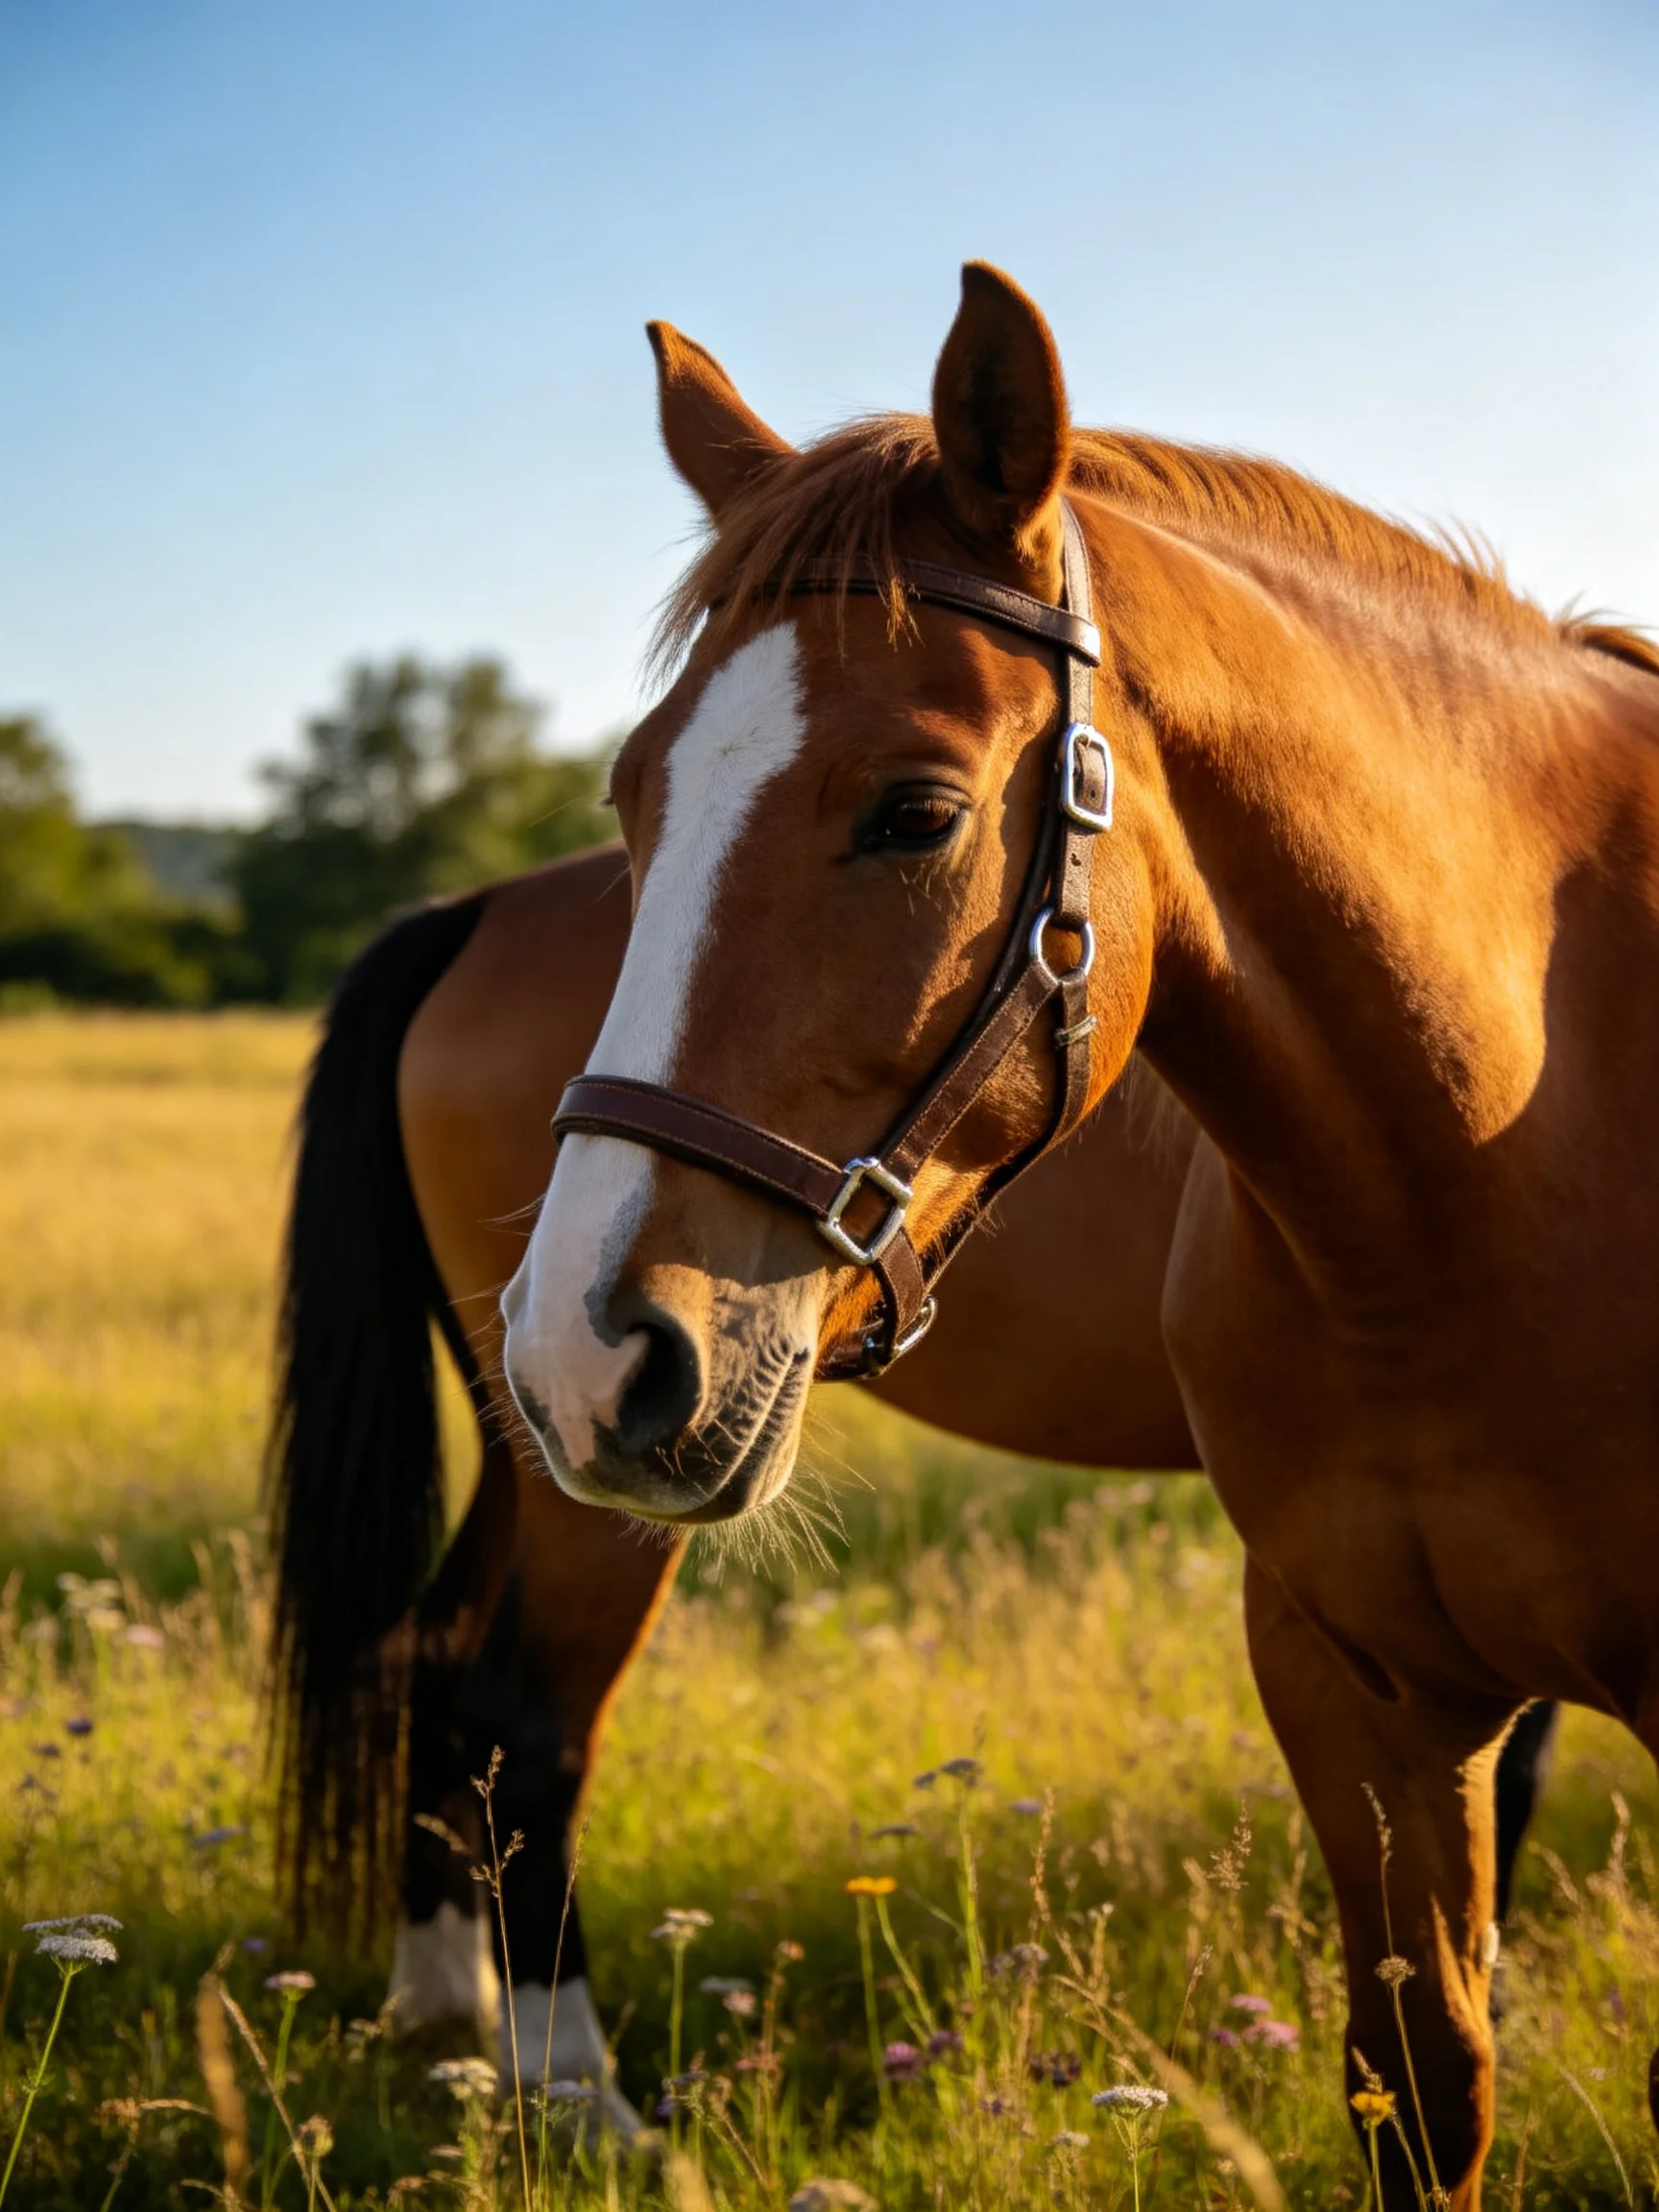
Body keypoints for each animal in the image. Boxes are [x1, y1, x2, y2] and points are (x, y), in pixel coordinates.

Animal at [276, 832, 1553, 2141]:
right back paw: (576, 2085)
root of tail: (472, 910)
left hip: (523, 1433)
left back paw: (444, 2004)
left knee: (428, 1658)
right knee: (527, 1718)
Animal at [480, 264, 1659, 2202]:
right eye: (636, 795)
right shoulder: (1358, 1695)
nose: (587, 1353)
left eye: (918, 811)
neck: (1493, 1170)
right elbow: (1423, 2086)